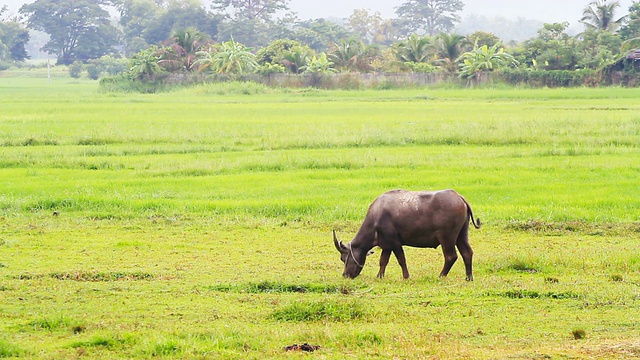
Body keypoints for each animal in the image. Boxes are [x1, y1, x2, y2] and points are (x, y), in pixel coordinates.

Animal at [336, 188, 480, 282]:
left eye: (344, 258)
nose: (345, 275)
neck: (376, 218)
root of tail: (459, 197)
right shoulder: (387, 245)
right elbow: (383, 261)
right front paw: (379, 276)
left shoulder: (395, 243)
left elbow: (401, 260)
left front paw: (406, 276)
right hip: (461, 235)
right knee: (467, 253)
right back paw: (469, 277)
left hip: (447, 238)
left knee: (451, 256)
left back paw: (441, 276)